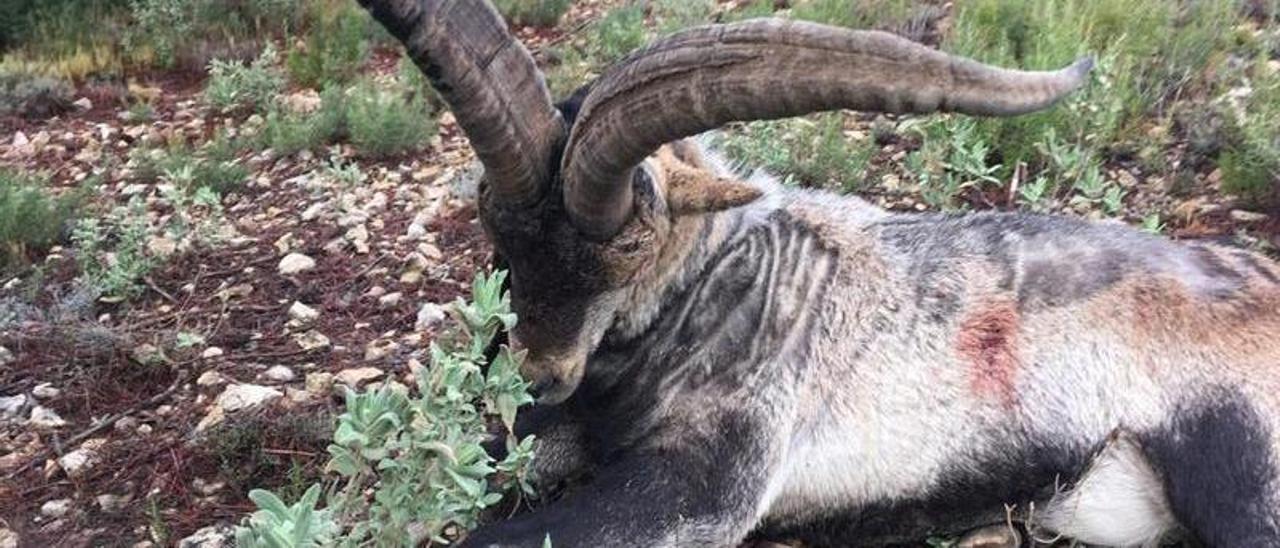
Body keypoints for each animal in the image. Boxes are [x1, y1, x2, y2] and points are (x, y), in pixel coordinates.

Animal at [357, 1, 1280, 546]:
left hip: (1237, 474)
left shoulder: (706, 481)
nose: (538, 375)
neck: (725, 292)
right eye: (498, 234)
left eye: (629, 246)